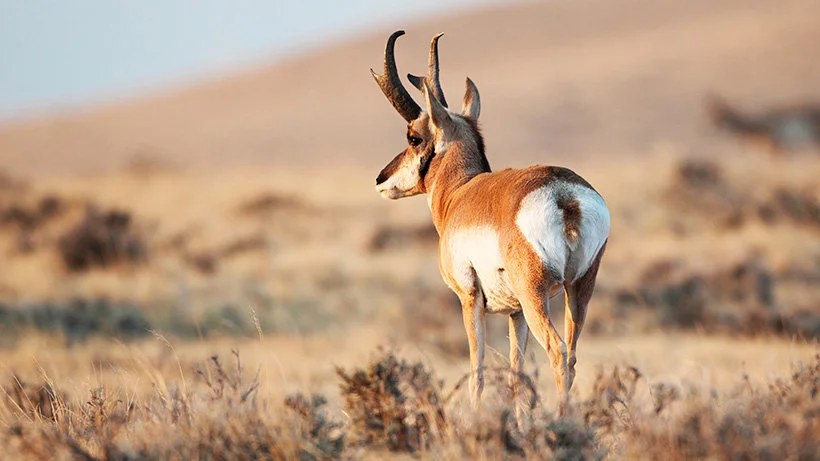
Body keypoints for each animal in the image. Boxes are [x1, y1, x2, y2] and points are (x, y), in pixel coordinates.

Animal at [371, 31, 610, 414]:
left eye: (413, 137)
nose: (381, 179)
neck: (462, 191)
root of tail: (563, 193)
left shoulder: (469, 299)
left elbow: (477, 371)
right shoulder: (515, 314)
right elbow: (516, 374)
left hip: (535, 297)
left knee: (557, 352)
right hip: (578, 290)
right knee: (572, 355)